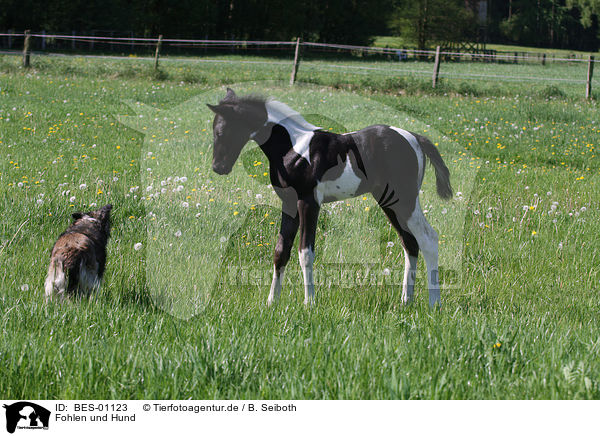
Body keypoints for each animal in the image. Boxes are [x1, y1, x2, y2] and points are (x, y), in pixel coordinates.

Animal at [209, 88, 452, 306]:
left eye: (220, 132)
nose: (218, 167)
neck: (293, 148)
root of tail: (416, 139)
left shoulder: (308, 202)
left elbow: (305, 253)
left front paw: (309, 303)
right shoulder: (288, 203)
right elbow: (281, 251)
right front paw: (271, 302)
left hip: (406, 199)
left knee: (428, 239)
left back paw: (434, 303)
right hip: (389, 201)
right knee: (410, 243)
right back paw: (405, 301)